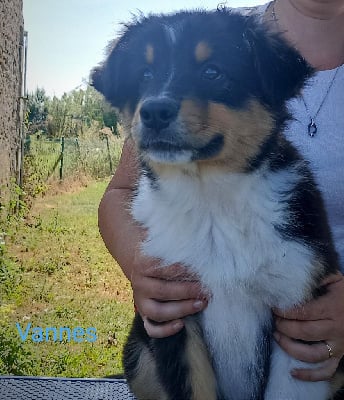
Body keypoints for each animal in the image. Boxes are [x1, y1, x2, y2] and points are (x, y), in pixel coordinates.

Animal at [92, 8, 342, 400]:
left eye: (212, 72)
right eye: (145, 73)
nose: (154, 111)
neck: (210, 198)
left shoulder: (297, 309)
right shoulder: (174, 313)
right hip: (139, 350)